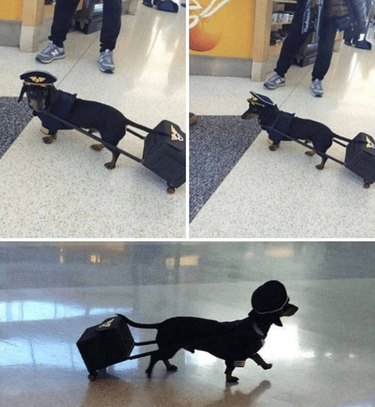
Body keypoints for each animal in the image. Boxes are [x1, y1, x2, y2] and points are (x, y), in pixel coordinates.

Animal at [18, 70, 148, 169]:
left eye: (45, 92)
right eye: (31, 91)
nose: (40, 108)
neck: (49, 104)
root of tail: (124, 119)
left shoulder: (53, 124)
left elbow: (53, 132)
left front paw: (50, 139)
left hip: (109, 139)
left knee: (117, 152)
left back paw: (111, 164)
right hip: (107, 139)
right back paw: (98, 146)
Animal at [118, 282, 300, 384]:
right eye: (286, 305)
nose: (297, 307)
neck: (255, 324)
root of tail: (162, 323)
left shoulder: (247, 353)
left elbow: (257, 358)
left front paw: (266, 365)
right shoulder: (235, 356)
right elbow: (230, 369)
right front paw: (230, 380)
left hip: (170, 348)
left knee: (161, 357)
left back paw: (169, 367)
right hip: (170, 348)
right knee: (155, 356)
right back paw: (149, 372)